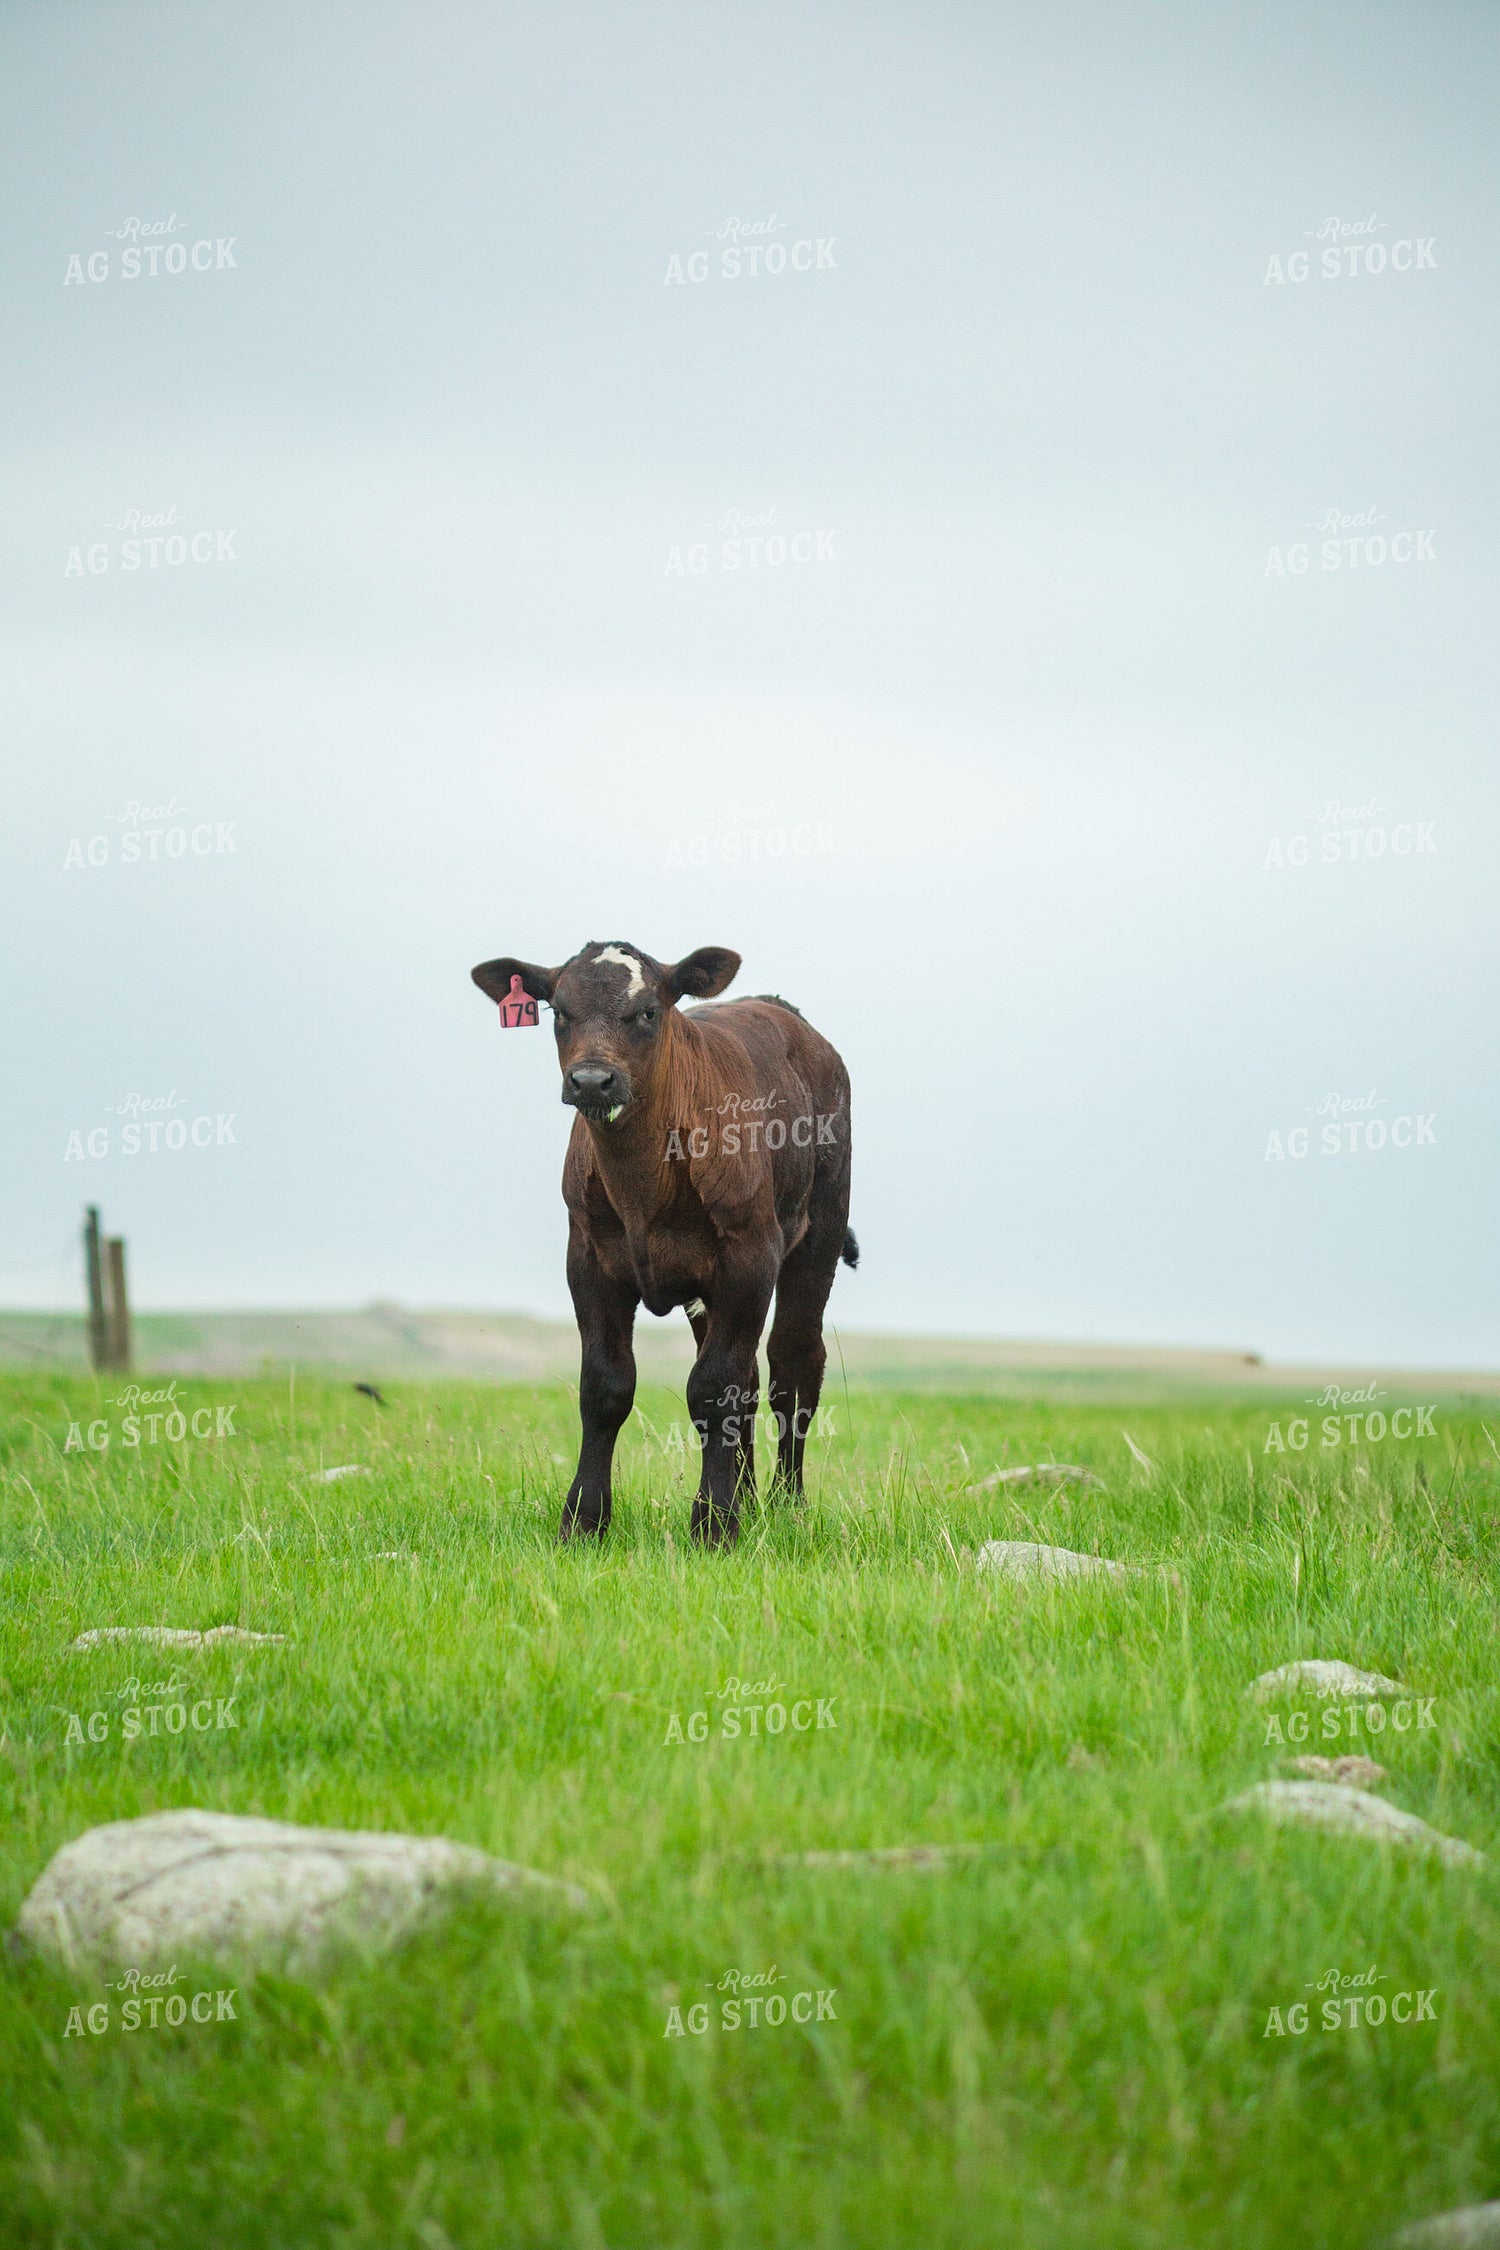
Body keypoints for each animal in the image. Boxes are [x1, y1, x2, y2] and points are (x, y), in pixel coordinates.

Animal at [471, 941, 856, 1547]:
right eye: (559, 1011)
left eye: (648, 1011)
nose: (592, 1080)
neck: (645, 1185)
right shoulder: (588, 1261)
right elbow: (606, 1386)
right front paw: (583, 1521)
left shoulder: (748, 1258)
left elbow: (714, 1387)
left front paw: (714, 1524)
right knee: (750, 1381)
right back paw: (749, 1498)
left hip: (818, 1236)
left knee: (792, 1367)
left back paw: (786, 1503)